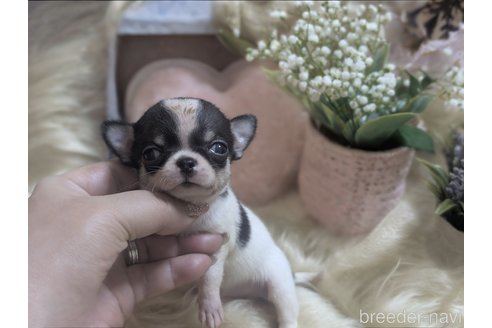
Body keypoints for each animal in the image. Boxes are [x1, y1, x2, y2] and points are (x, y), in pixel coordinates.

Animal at [102, 97, 298, 328]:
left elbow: (209, 279)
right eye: (150, 153)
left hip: (280, 283)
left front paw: (210, 308)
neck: (192, 204)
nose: (186, 161)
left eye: (219, 148)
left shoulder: (217, 246)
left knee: (287, 312)